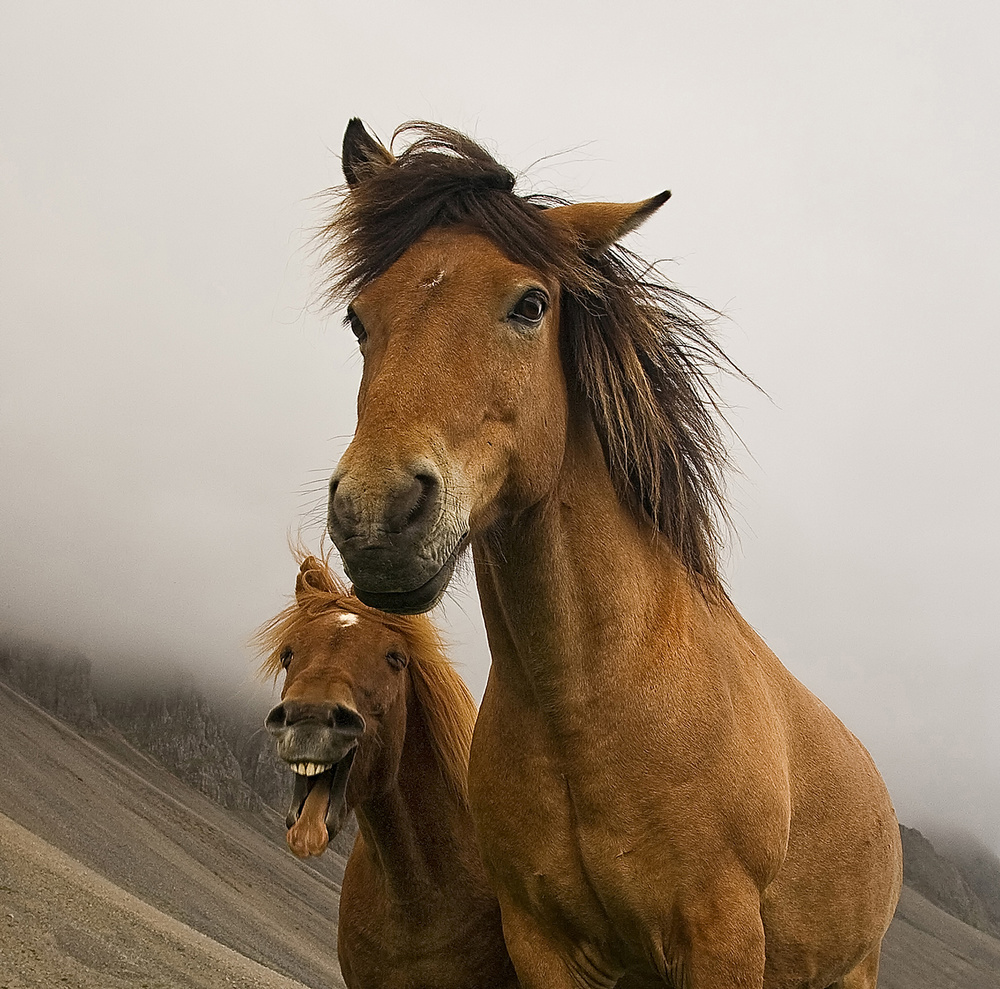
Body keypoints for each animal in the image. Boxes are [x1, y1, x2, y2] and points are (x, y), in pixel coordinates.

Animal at [322, 121, 908, 988]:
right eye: (360, 318)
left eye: (530, 304)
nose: (376, 511)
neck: (589, 701)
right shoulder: (542, 942)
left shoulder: (722, 937)